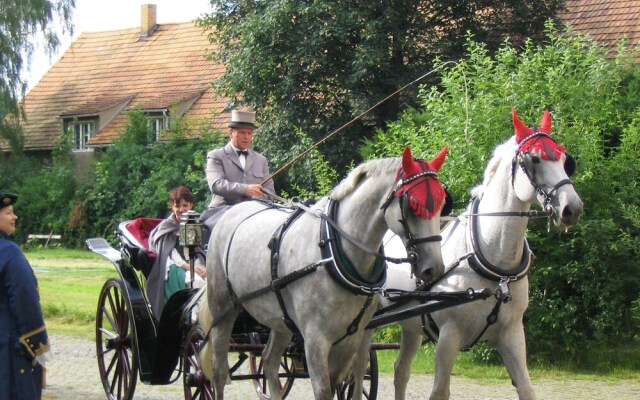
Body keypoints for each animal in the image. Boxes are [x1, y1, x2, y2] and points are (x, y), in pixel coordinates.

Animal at [198, 147, 452, 400]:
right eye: (412, 204)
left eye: (442, 204)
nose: (434, 268)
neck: (332, 249)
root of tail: (233, 212)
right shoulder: (315, 339)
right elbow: (323, 390)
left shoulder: (351, 337)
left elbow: (340, 380)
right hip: (223, 310)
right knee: (219, 371)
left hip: (280, 321)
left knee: (269, 363)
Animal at [356, 108, 584, 398]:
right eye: (534, 159)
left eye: (566, 160)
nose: (572, 208)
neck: (493, 261)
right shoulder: (448, 336)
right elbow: (439, 392)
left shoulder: (512, 334)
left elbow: (526, 389)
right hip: (367, 325)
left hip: (412, 325)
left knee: (400, 371)